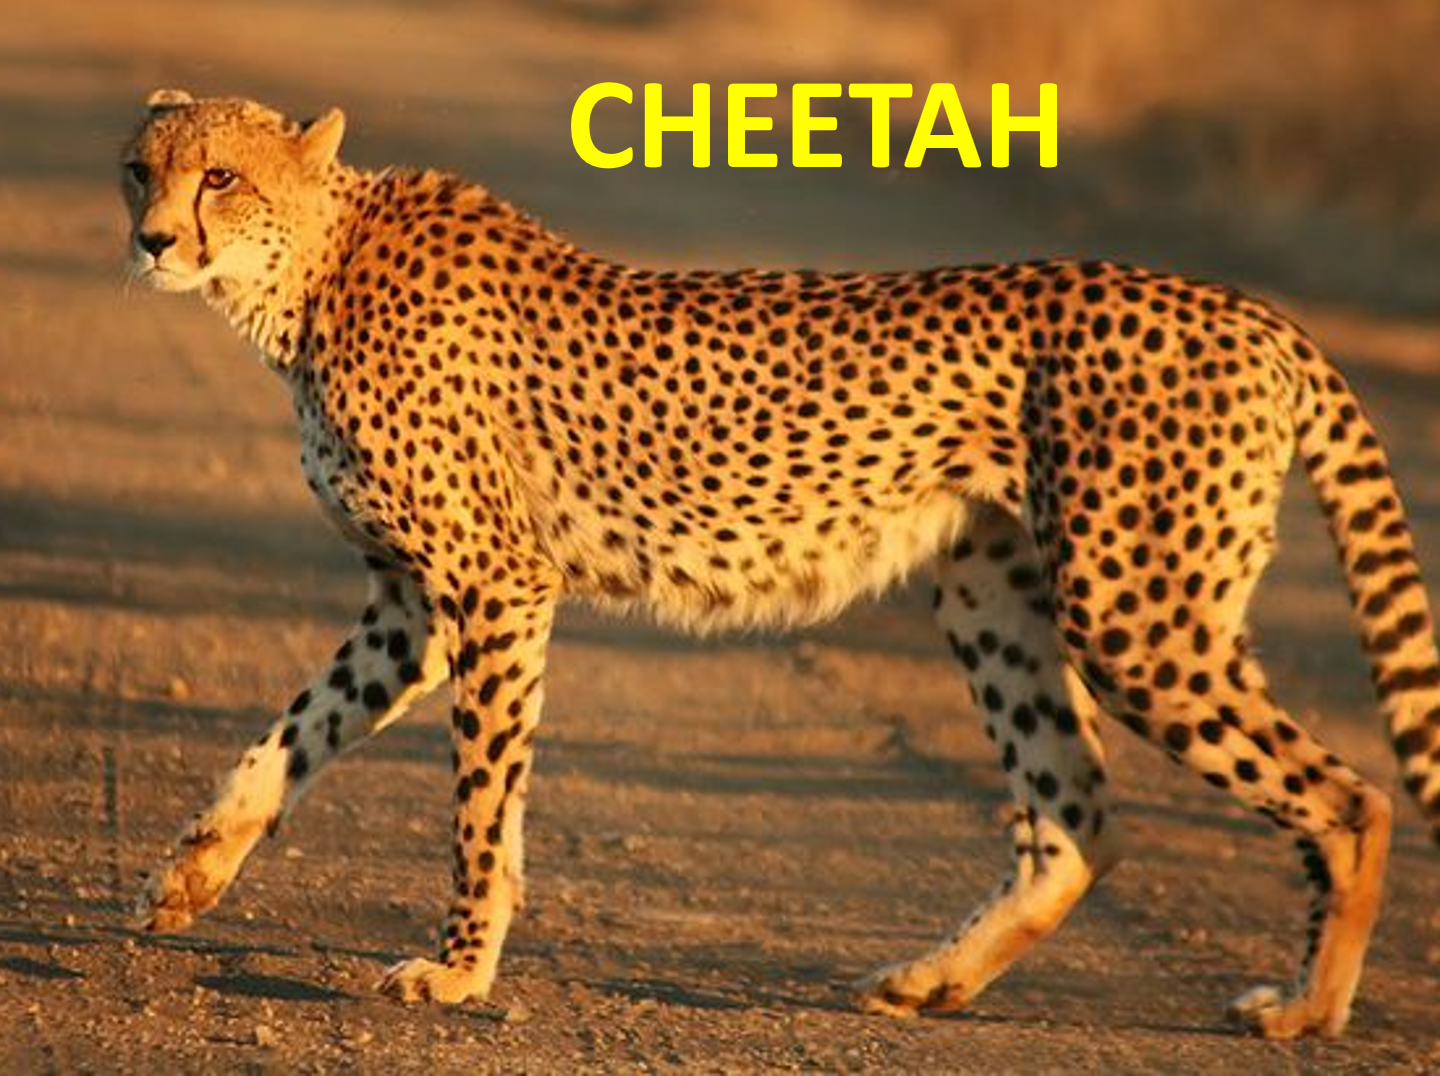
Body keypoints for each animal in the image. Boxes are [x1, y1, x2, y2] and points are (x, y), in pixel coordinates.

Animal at [119, 89, 1440, 1039]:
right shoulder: (414, 603)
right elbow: (295, 730)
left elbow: (481, 800)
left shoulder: (495, 583)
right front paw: (192, 873)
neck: (307, 273)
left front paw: (457, 969)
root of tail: (1252, 311)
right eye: (143, 167)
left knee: (1352, 797)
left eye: (221, 176)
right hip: (996, 591)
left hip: (1136, 612)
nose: (150, 238)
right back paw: (933, 980)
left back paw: (1309, 1007)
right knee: (1074, 818)